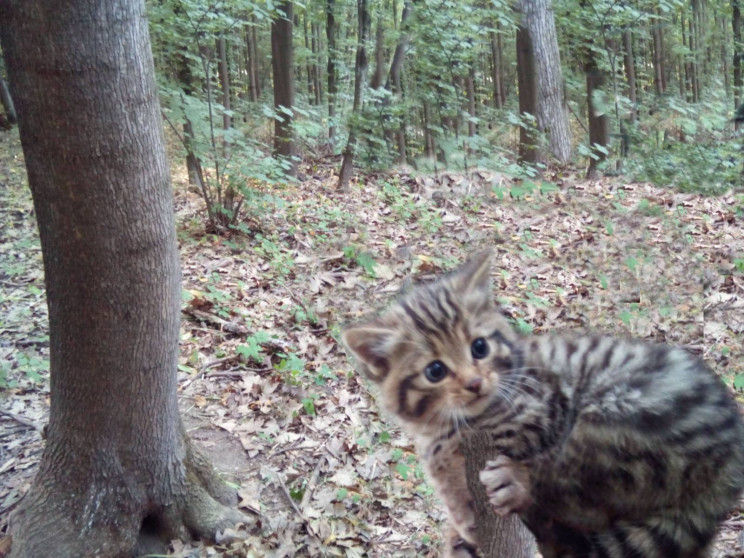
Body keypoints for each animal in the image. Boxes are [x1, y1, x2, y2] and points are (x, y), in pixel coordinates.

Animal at [342, 253, 744, 558]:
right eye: (435, 370)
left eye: (479, 347)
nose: (474, 384)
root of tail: (727, 474)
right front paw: (460, 525)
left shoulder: (544, 406)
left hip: (624, 414)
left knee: (575, 481)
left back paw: (518, 484)